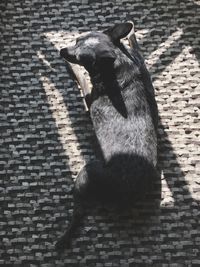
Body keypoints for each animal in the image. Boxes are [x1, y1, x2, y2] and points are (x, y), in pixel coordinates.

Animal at [55, 21, 158, 251]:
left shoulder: (89, 97)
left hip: (87, 172)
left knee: (79, 210)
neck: (116, 68)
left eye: (79, 57)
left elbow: (82, 78)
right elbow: (139, 57)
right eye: (76, 39)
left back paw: (64, 236)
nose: (63, 50)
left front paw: (73, 68)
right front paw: (132, 38)